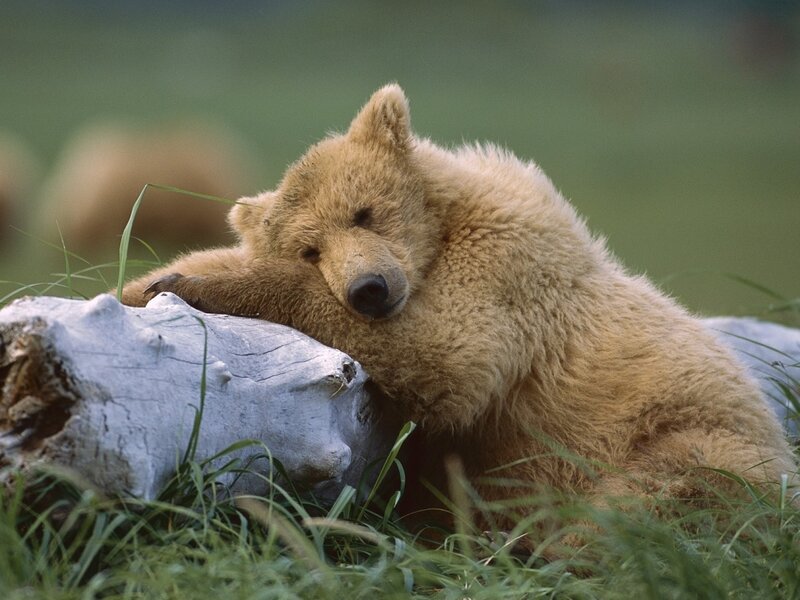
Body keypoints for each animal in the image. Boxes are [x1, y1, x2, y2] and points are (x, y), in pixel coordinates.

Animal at [120, 84, 797, 529]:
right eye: (311, 247)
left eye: (364, 212)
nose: (368, 290)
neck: (443, 228)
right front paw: (151, 281)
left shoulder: (507, 269)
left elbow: (447, 355)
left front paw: (200, 286)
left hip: (695, 436)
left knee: (660, 495)